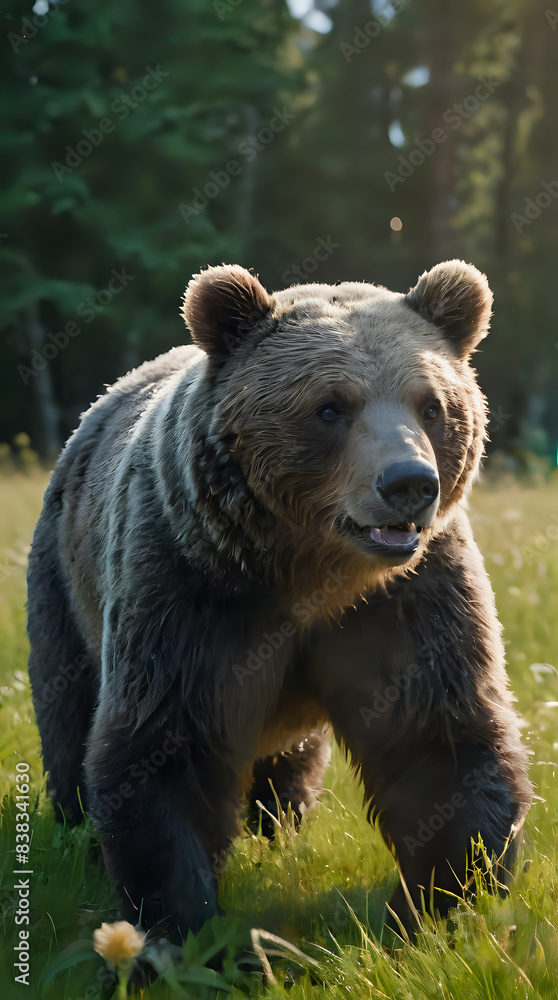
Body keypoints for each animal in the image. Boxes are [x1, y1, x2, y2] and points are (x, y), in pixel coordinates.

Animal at [27, 260, 532, 944]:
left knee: (290, 759)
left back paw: (280, 827)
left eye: (432, 405)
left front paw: (436, 909)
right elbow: (164, 744)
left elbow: (440, 738)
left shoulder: (407, 602)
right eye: (330, 407)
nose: (409, 483)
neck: (310, 574)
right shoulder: (189, 589)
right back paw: (73, 833)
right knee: (68, 708)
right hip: (65, 578)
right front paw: (187, 927)